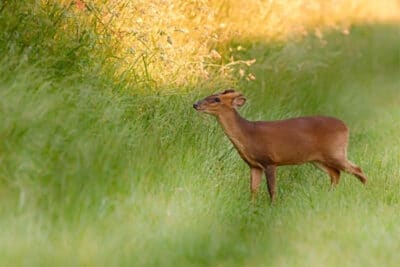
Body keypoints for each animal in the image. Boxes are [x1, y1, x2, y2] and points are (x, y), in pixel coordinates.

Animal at [192, 89, 368, 202]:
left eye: (216, 99)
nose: (195, 104)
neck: (248, 134)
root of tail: (345, 126)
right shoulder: (254, 165)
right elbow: (253, 189)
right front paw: (251, 207)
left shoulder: (269, 161)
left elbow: (272, 189)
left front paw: (272, 207)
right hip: (318, 159)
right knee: (336, 174)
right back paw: (329, 195)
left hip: (335, 151)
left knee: (356, 169)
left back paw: (367, 192)